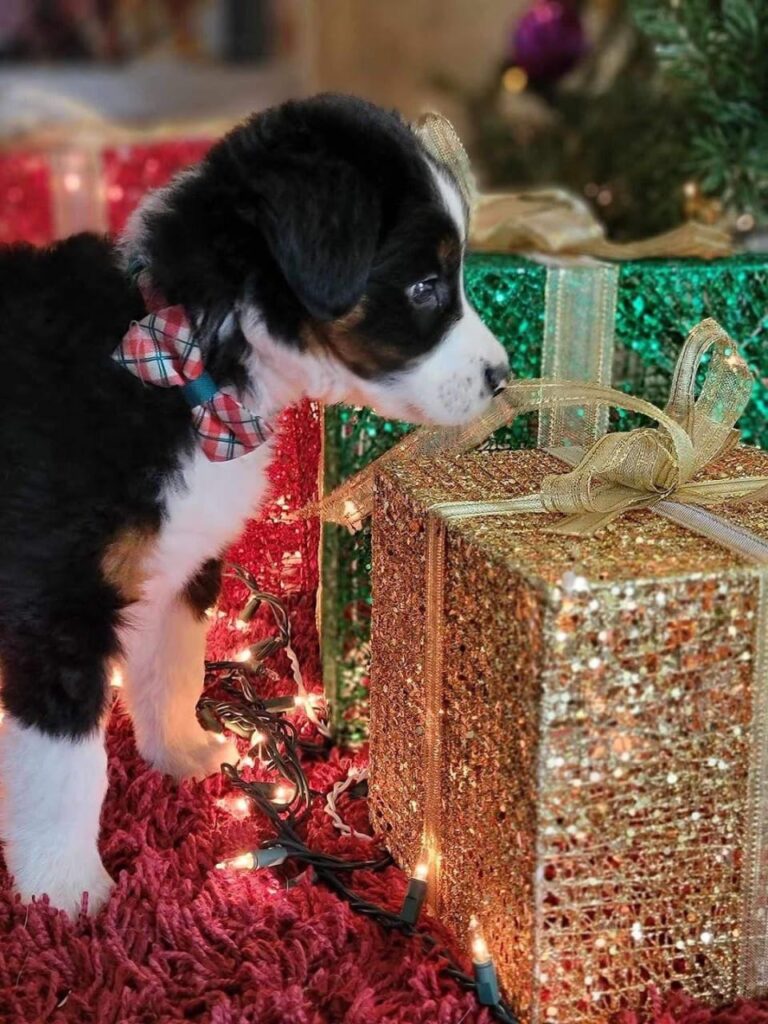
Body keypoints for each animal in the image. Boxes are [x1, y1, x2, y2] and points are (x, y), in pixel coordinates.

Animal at [0, 96, 512, 913]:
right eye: (426, 286)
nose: (502, 377)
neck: (191, 361)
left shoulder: (181, 565)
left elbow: (171, 673)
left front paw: (181, 754)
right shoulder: (59, 600)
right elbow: (64, 766)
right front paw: (65, 890)